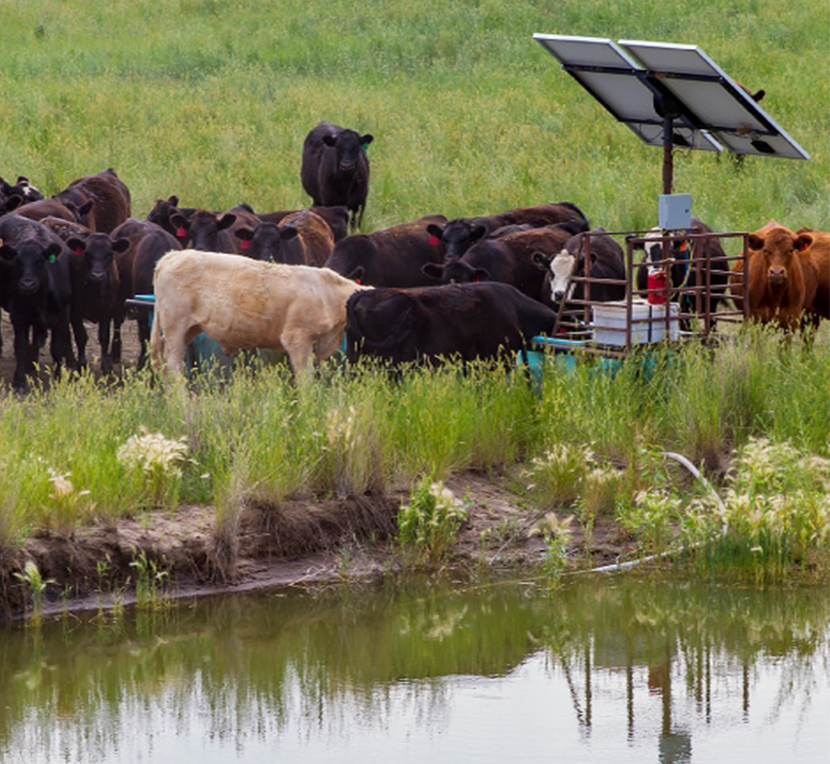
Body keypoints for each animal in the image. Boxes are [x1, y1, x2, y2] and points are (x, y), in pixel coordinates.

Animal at [0, 215, 75, 394]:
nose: (27, 284)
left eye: (40, 261)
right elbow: (20, 346)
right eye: (18, 261)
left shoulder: (62, 316)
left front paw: (58, 379)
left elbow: (56, 348)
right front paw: (19, 382)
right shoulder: (18, 316)